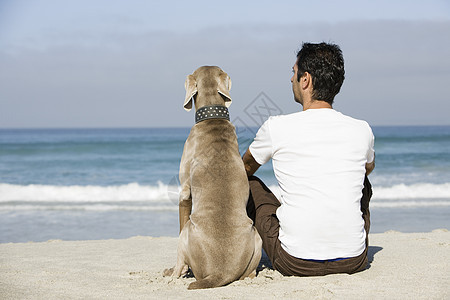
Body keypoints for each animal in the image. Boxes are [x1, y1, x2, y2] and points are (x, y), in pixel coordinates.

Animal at [164, 66, 264, 288]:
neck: (212, 117)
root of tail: (220, 273)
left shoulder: (185, 189)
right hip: (256, 237)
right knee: (250, 273)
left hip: (188, 230)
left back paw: (173, 272)